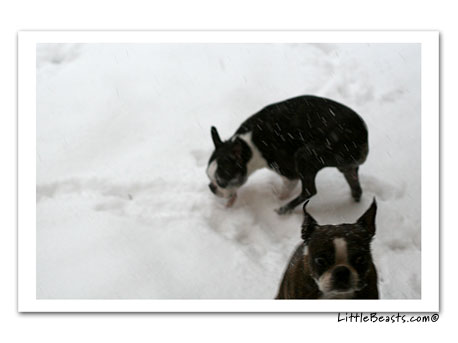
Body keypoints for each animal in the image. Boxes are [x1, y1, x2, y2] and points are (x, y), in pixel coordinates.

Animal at [207, 96, 368, 215]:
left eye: (221, 181)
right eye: (208, 177)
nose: (211, 187)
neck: (249, 145)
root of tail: (363, 136)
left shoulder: (288, 171)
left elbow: (287, 186)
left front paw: (278, 197)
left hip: (307, 155)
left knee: (309, 190)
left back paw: (283, 209)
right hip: (346, 166)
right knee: (356, 187)